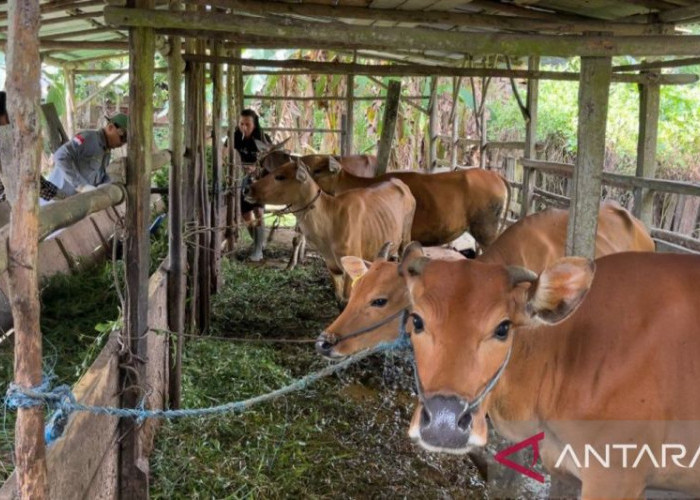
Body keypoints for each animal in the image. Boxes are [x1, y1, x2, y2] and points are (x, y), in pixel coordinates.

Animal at [246, 160, 416, 300]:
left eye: (280, 176)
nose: (248, 189)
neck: (331, 221)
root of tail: (401, 184)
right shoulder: (332, 266)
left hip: (406, 237)